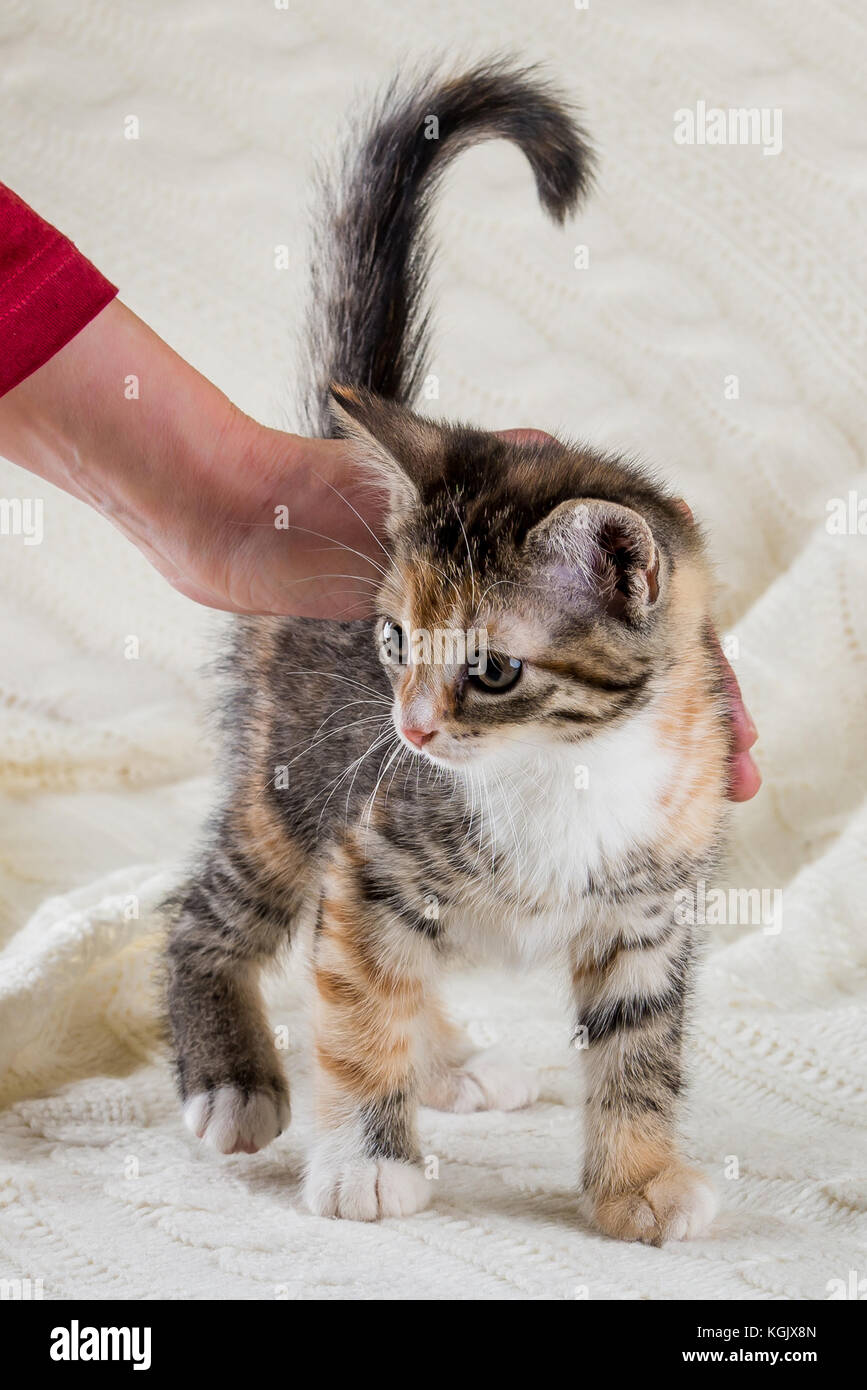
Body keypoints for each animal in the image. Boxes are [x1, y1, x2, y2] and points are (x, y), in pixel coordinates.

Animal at [166, 59, 728, 1245]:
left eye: (493, 669)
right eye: (393, 639)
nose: (413, 726)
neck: (564, 771)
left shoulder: (651, 906)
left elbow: (641, 1044)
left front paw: (638, 1179)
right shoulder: (373, 848)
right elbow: (355, 1008)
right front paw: (366, 1163)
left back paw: (449, 1063)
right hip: (292, 784)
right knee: (223, 913)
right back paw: (233, 1074)